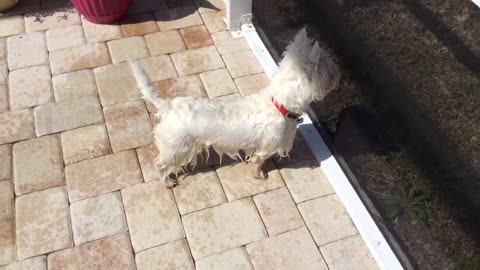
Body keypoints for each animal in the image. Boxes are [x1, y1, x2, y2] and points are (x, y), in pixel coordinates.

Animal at [129, 28, 340, 188]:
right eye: (328, 65)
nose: (339, 73)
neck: (279, 104)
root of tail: (167, 106)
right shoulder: (267, 147)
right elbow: (258, 161)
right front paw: (259, 175)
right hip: (177, 147)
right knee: (160, 164)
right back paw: (167, 183)